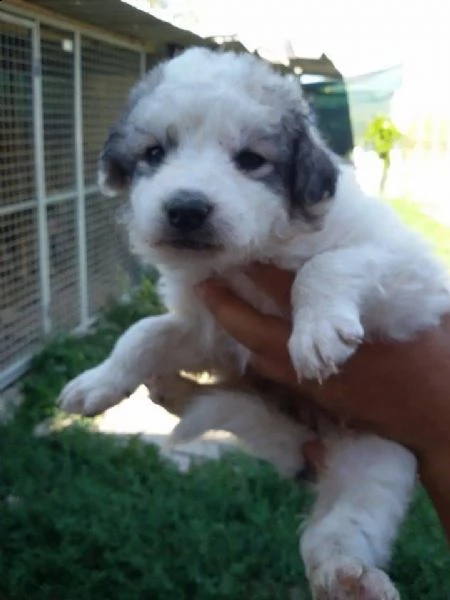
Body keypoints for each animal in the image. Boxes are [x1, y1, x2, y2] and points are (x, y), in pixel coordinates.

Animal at [59, 48, 450, 600]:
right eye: (154, 153)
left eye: (249, 160)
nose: (186, 209)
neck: (256, 251)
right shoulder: (211, 328)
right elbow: (145, 332)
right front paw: (97, 383)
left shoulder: (409, 283)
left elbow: (324, 265)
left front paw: (314, 334)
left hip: (381, 451)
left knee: (348, 519)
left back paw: (351, 578)